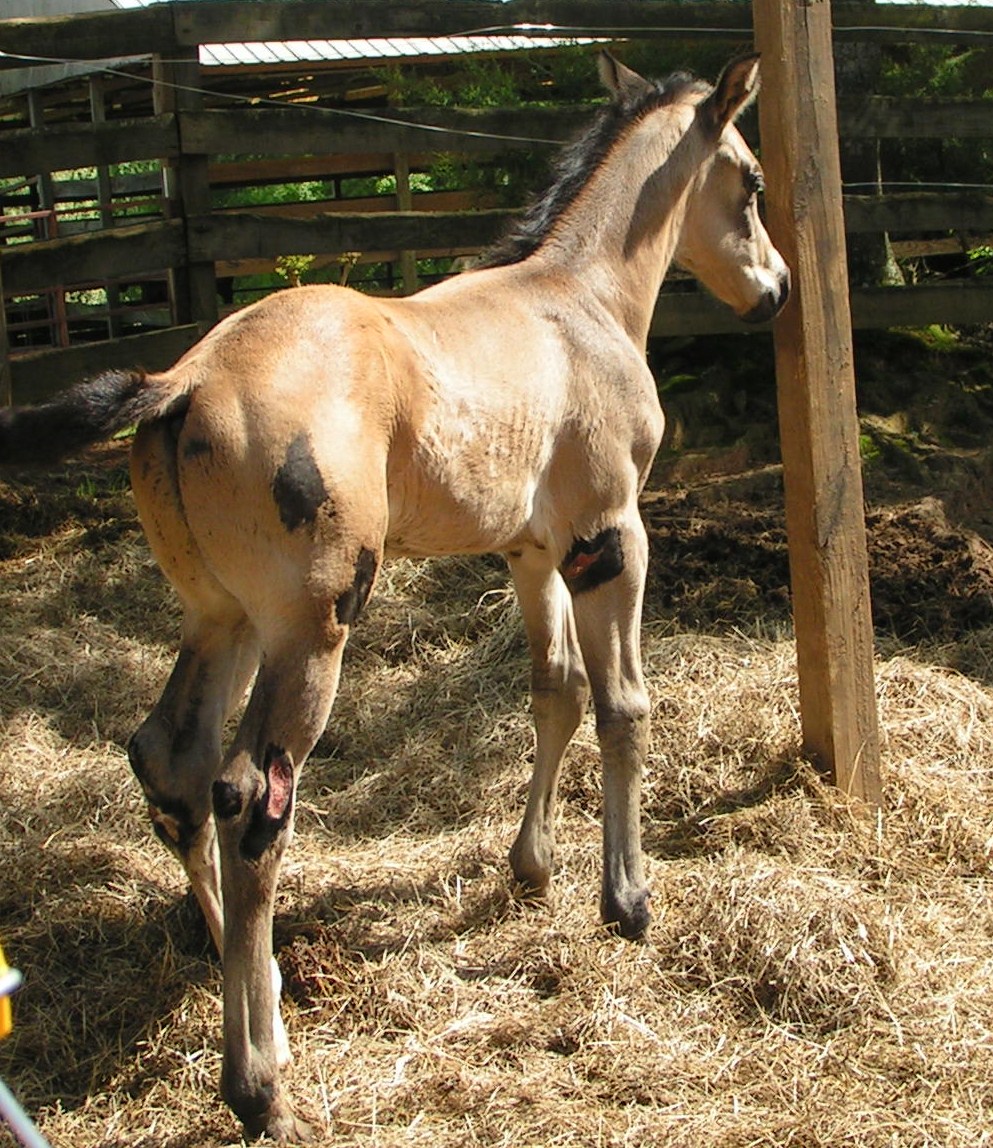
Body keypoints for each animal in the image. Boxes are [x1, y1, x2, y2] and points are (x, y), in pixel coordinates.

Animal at [0, 51, 788, 1142]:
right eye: (749, 181)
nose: (777, 292)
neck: (575, 301)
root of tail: (182, 381)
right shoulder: (607, 537)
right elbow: (623, 704)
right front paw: (626, 900)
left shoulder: (529, 551)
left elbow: (553, 691)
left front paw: (531, 867)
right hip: (312, 624)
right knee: (250, 795)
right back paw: (257, 1083)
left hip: (222, 616)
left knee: (171, 759)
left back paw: (257, 986)